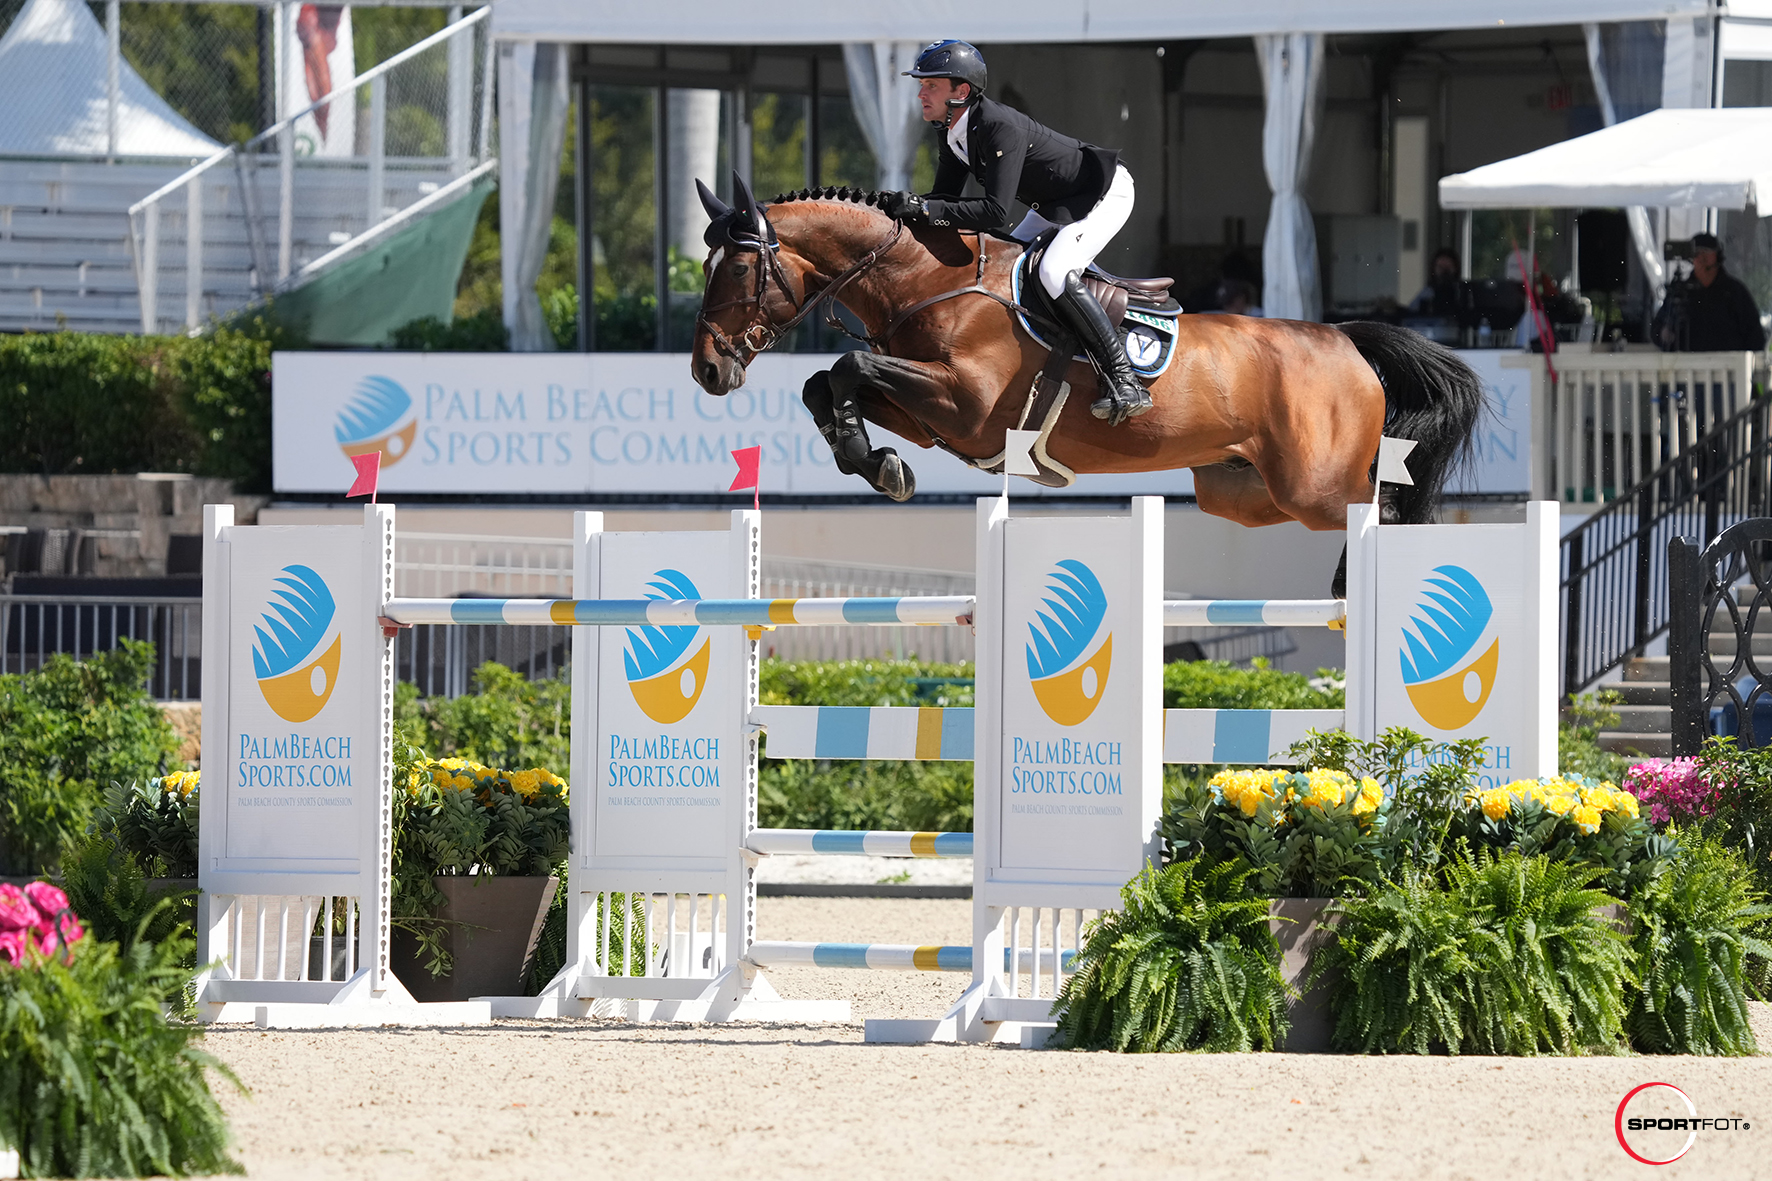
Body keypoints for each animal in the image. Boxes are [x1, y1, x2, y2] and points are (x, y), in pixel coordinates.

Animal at [691, 172, 1481, 585]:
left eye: (738, 267)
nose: (706, 368)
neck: (924, 279)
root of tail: (1344, 339)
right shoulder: (937, 415)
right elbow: (826, 383)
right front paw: (875, 460)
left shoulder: (966, 405)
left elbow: (850, 366)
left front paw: (872, 459)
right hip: (1242, 492)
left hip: (1313, 484)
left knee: (1389, 507)